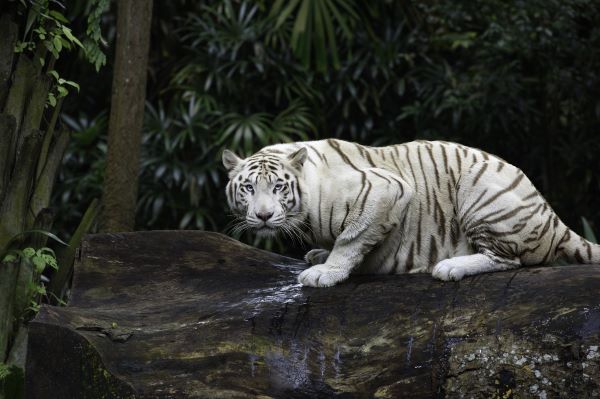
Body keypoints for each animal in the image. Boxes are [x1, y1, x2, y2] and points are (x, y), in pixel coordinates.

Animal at [223, 140, 596, 288]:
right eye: (248, 188)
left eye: (278, 187)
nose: (264, 216)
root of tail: (553, 219)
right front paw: (319, 254)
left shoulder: (387, 189)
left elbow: (351, 239)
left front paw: (326, 272)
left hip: (479, 188)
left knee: (509, 260)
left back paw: (450, 266)